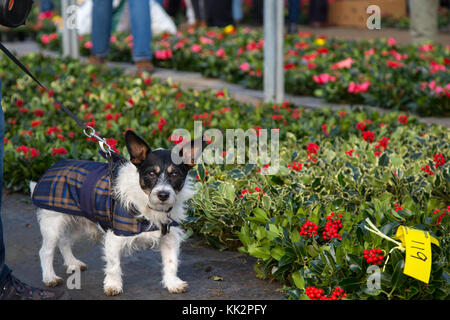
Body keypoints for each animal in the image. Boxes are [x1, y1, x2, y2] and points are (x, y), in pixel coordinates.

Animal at [29, 130, 202, 296]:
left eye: (175, 174)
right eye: (151, 173)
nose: (163, 195)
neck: (148, 205)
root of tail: (54, 166)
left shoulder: (170, 237)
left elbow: (171, 262)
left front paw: (173, 283)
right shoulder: (114, 237)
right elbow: (113, 266)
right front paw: (113, 286)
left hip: (79, 222)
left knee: (64, 241)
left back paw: (72, 263)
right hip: (53, 224)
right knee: (45, 251)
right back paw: (49, 277)